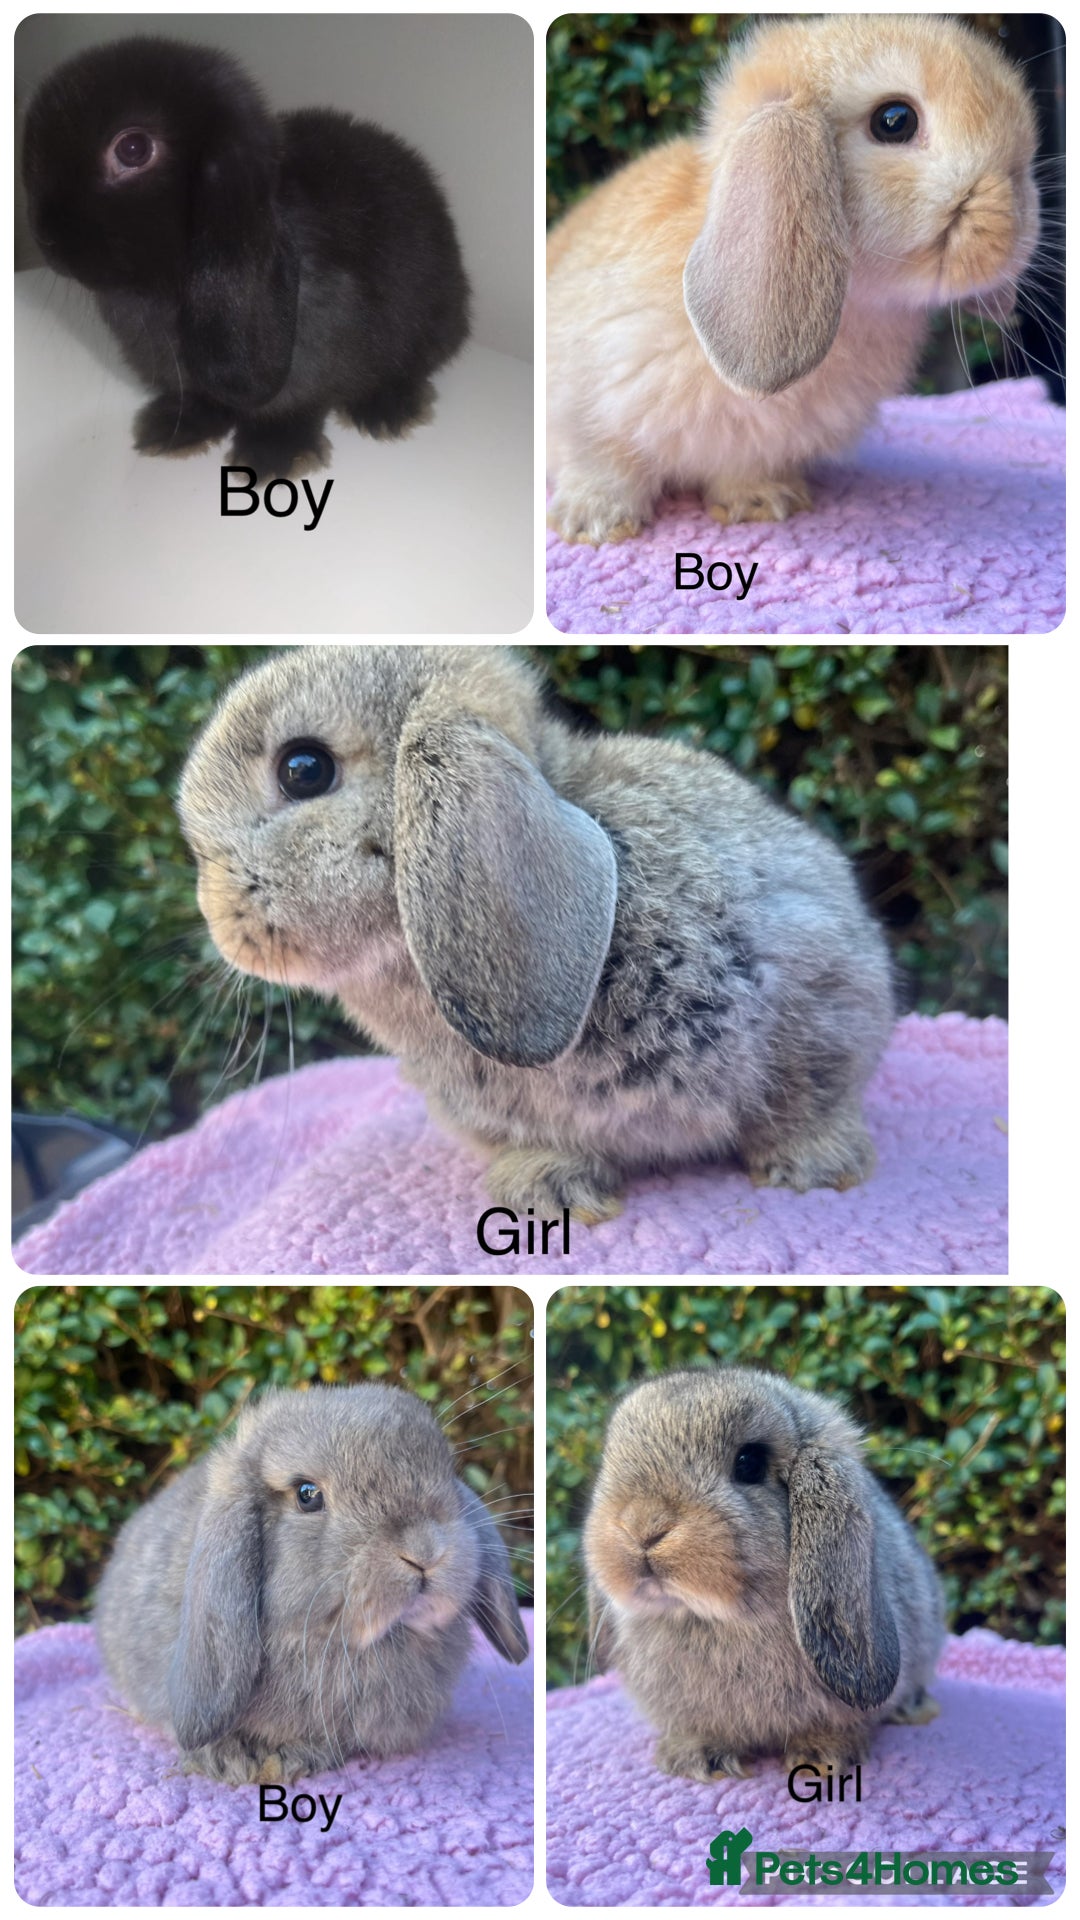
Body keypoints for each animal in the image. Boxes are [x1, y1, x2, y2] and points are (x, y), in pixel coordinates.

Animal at [22, 36, 470, 480]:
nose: (46, 237)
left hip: (428, 320)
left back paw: (387, 411)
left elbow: (295, 406)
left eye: (133, 149)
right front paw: (171, 431)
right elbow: (200, 400)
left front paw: (273, 456)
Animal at [547, 13, 1040, 542]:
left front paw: (762, 503)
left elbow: (742, 470)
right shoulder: (584, 407)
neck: (856, 307)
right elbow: (605, 462)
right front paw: (594, 523)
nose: (1013, 229)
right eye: (894, 121)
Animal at [583, 1366, 945, 1782]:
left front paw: (823, 1757)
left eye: (749, 1463)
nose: (642, 1526)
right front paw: (696, 1759)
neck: (709, 1618)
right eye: (611, 1457)